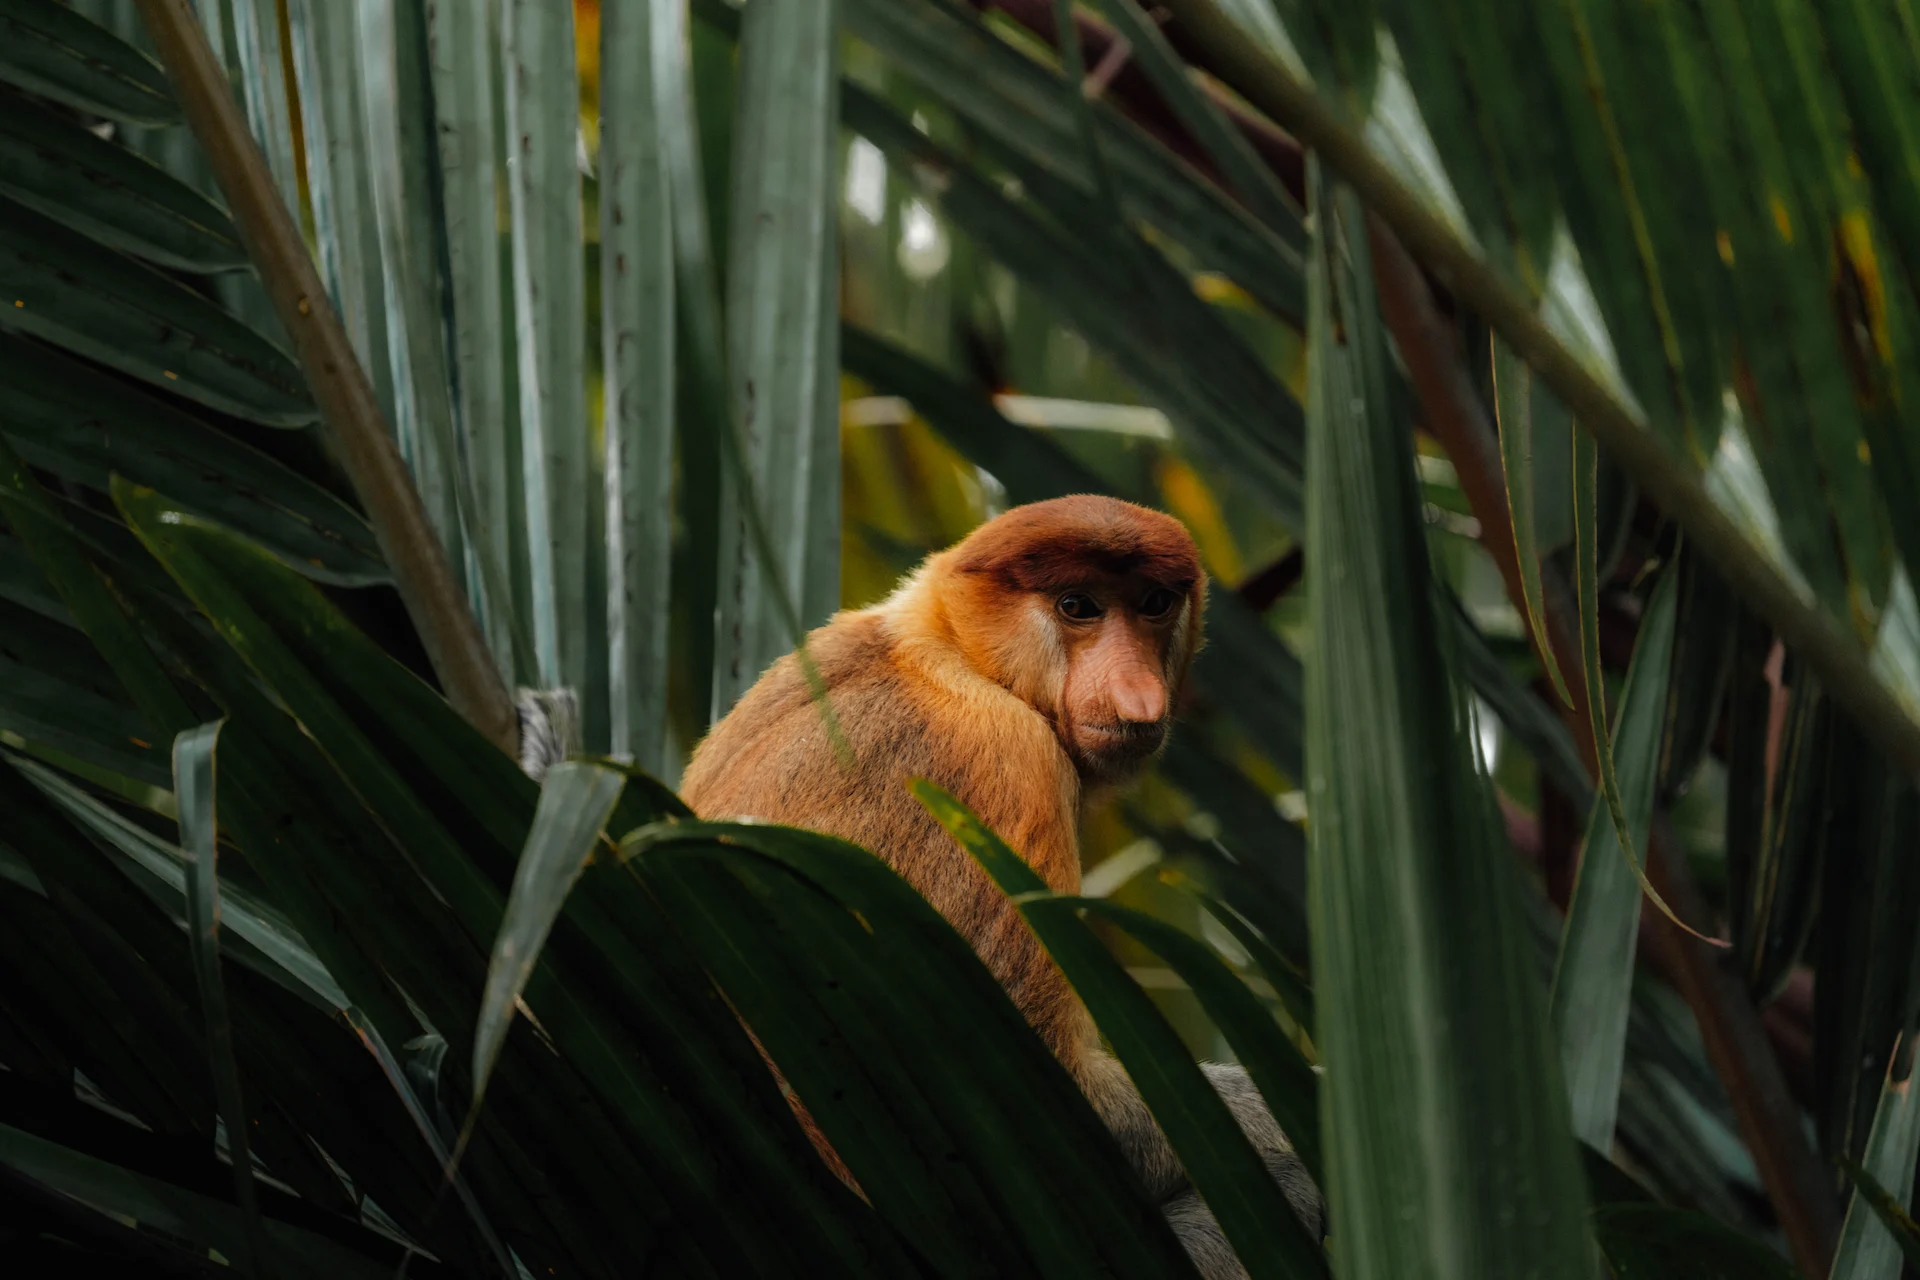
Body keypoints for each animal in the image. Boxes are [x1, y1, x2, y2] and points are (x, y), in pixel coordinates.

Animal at [680, 495, 1322, 1277]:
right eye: (1077, 606)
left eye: (1153, 604)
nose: (1139, 697)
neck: (947, 652)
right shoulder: (1003, 759)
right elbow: (1039, 1123)